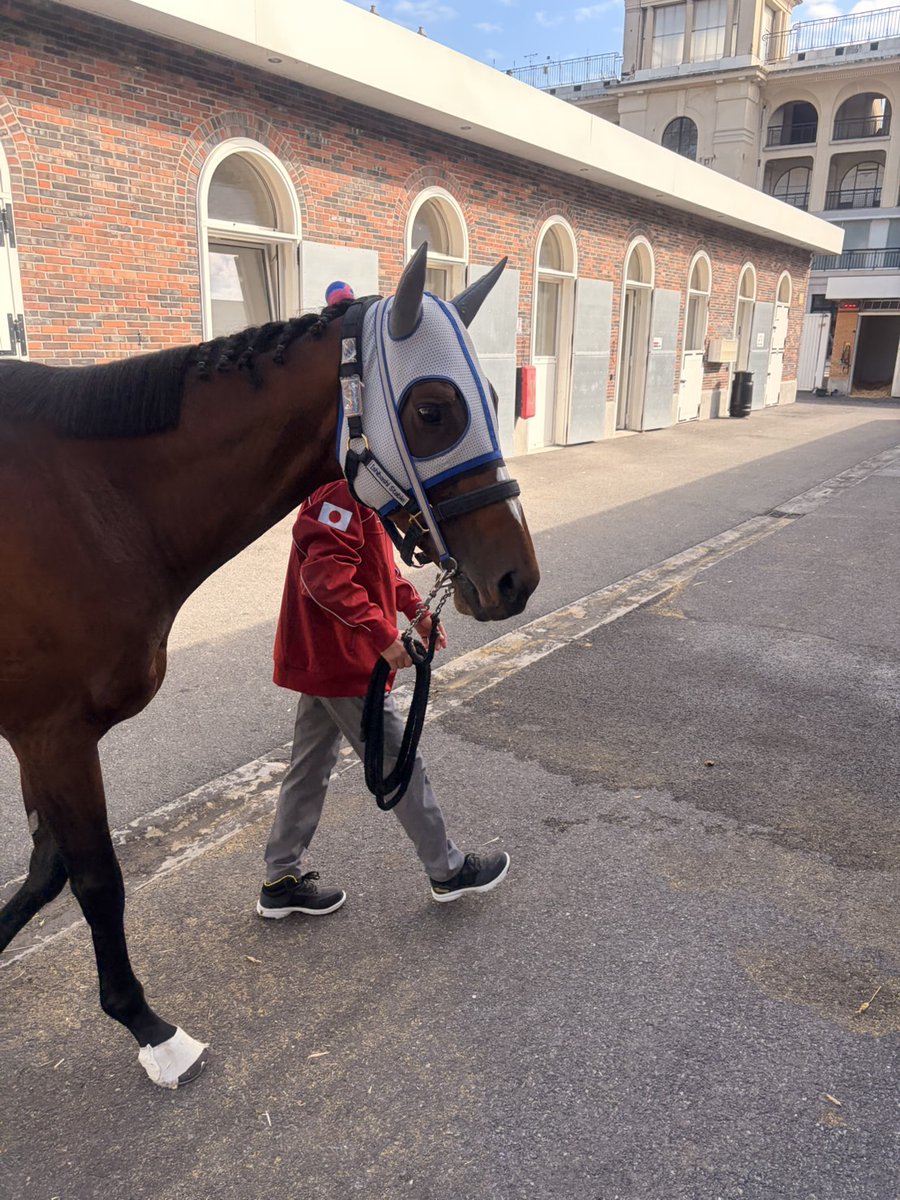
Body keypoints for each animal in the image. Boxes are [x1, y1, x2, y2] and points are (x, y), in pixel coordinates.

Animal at [0, 244, 540, 1088]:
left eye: (490, 395)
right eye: (431, 410)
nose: (517, 579)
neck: (91, 500)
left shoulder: (39, 738)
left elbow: (48, 869)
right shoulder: (52, 734)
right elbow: (94, 879)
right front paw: (150, 1029)